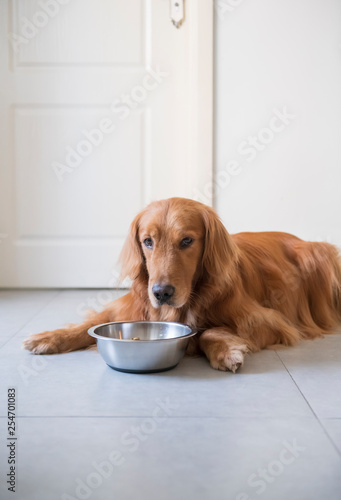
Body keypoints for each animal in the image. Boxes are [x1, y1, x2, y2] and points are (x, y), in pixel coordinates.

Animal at [23, 198, 340, 372]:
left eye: (187, 240)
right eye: (147, 241)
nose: (161, 293)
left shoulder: (270, 322)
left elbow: (207, 331)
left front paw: (226, 351)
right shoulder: (132, 306)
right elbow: (89, 324)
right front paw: (49, 337)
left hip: (320, 253)